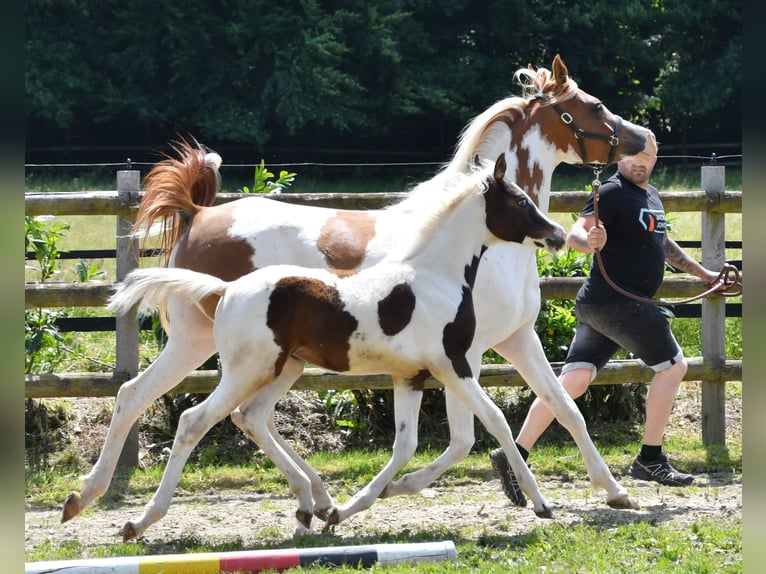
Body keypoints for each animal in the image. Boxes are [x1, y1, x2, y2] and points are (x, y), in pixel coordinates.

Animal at [107, 154, 568, 539]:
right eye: (521, 201)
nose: (559, 234)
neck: (435, 277)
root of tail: (226, 289)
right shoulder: (452, 365)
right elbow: (496, 421)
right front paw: (541, 503)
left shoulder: (411, 377)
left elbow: (405, 446)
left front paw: (345, 511)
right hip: (245, 371)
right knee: (193, 421)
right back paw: (138, 521)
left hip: (279, 368)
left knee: (248, 416)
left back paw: (308, 505)